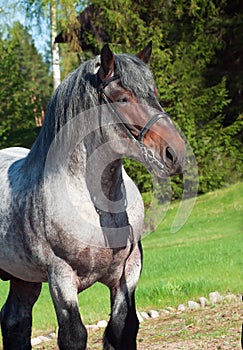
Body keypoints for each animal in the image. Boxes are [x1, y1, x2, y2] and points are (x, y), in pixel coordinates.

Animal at [0, 42, 186, 348]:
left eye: (154, 93)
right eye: (122, 98)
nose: (176, 153)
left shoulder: (128, 271)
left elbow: (123, 327)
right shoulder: (61, 277)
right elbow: (74, 335)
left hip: (22, 277)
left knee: (15, 319)